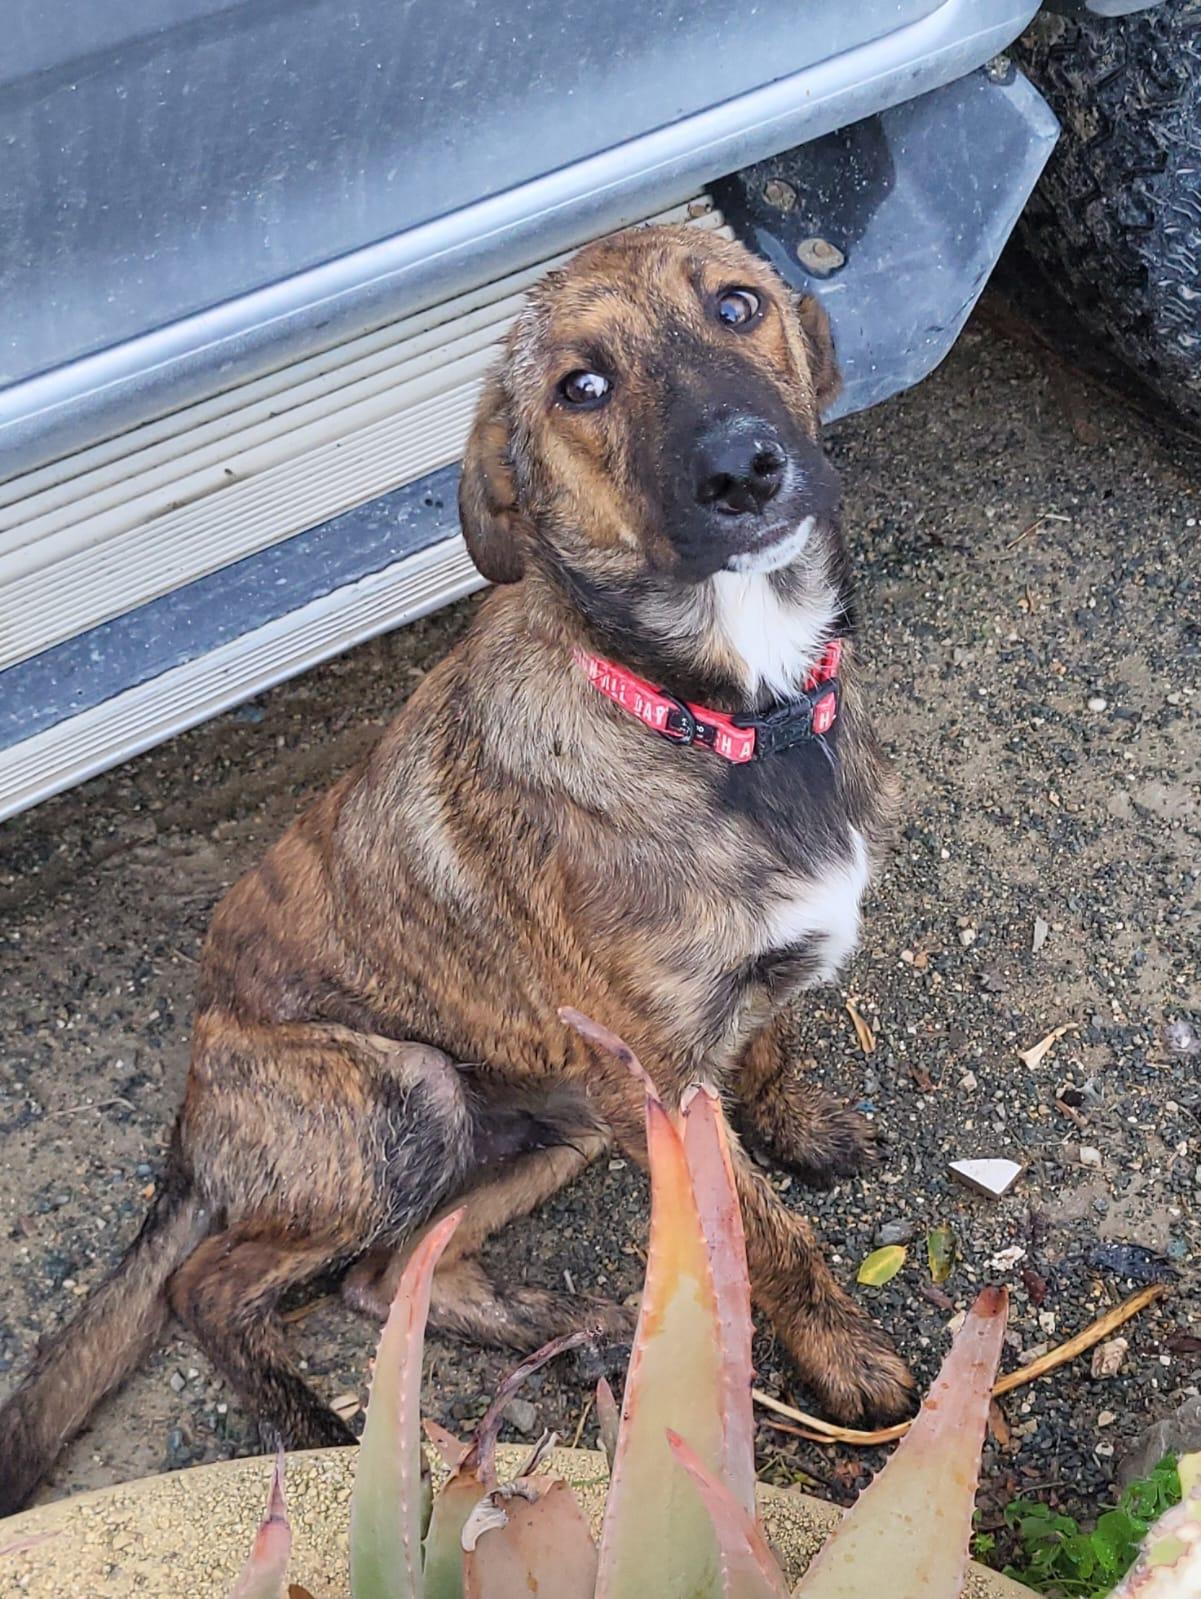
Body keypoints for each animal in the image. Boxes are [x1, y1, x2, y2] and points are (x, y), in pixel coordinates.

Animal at [0, 224, 915, 1515]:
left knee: (385, 1277)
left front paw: (801, 1124)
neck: (726, 716)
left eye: (739, 306)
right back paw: (316, 1433)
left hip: (564, 1118)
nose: (742, 472)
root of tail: (192, 1094)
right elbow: (764, 1234)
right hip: (408, 1094)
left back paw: (571, 1325)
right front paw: (842, 1356)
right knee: (212, 1287)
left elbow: (773, 1046)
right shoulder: (662, 1083)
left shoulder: (700, 1037)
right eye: (581, 386)